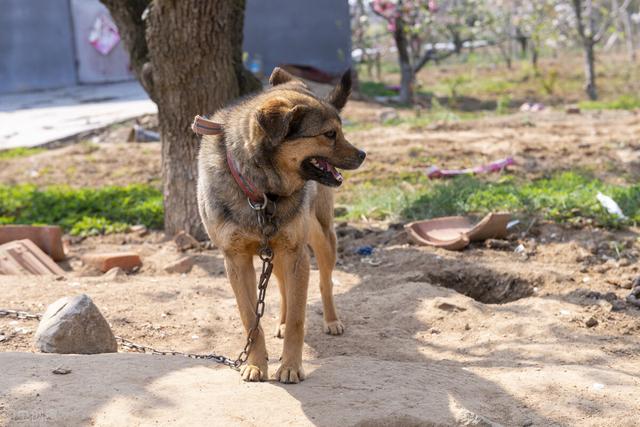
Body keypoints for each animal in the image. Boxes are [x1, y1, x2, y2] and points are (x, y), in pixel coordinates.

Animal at [195, 67, 364, 384]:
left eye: (340, 130)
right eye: (330, 134)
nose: (363, 154)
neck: (262, 193)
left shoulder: (296, 253)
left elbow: (299, 317)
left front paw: (290, 366)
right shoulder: (236, 260)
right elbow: (250, 318)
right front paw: (255, 364)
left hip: (322, 240)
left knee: (324, 282)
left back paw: (332, 320)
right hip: (274, 254)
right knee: (284, 288)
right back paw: (281, 324)